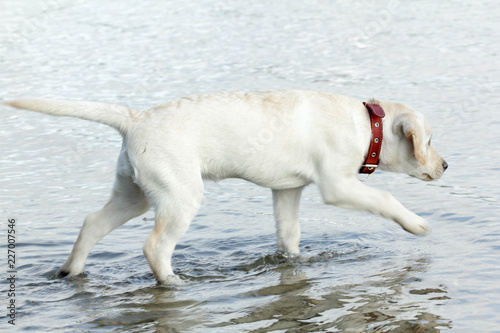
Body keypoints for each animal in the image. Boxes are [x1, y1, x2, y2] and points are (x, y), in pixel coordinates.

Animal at [5, 90, 448, 282]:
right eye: (428, 141)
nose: (445, 165)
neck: (367, 124)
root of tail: (135, 118)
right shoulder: (336, 185)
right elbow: (385, 196)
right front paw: (416, 224)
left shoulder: (287, 191)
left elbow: (289, 236)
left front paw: (293, 263)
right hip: (180, 197)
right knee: (155, 247)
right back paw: (173, 282)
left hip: (134, 195)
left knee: (92, 223)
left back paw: (71, 271)